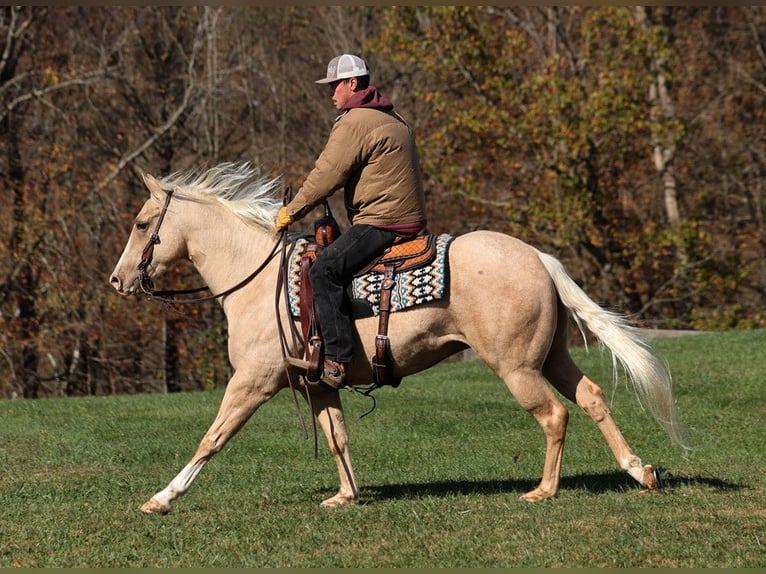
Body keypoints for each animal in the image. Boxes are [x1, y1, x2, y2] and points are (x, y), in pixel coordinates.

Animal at [109, 163, 688, 516]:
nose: (118, 280)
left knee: (554, 415)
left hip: (517, 367)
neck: (256, 280)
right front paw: (345, 496)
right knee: (590, 397)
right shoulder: (319, 384)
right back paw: (641, 471)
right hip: (552, 358)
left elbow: (213, 436)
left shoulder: (253, 381)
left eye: (140, 223)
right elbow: (337, 436)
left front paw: (162, 497)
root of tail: (538, 258)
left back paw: (544, 490)